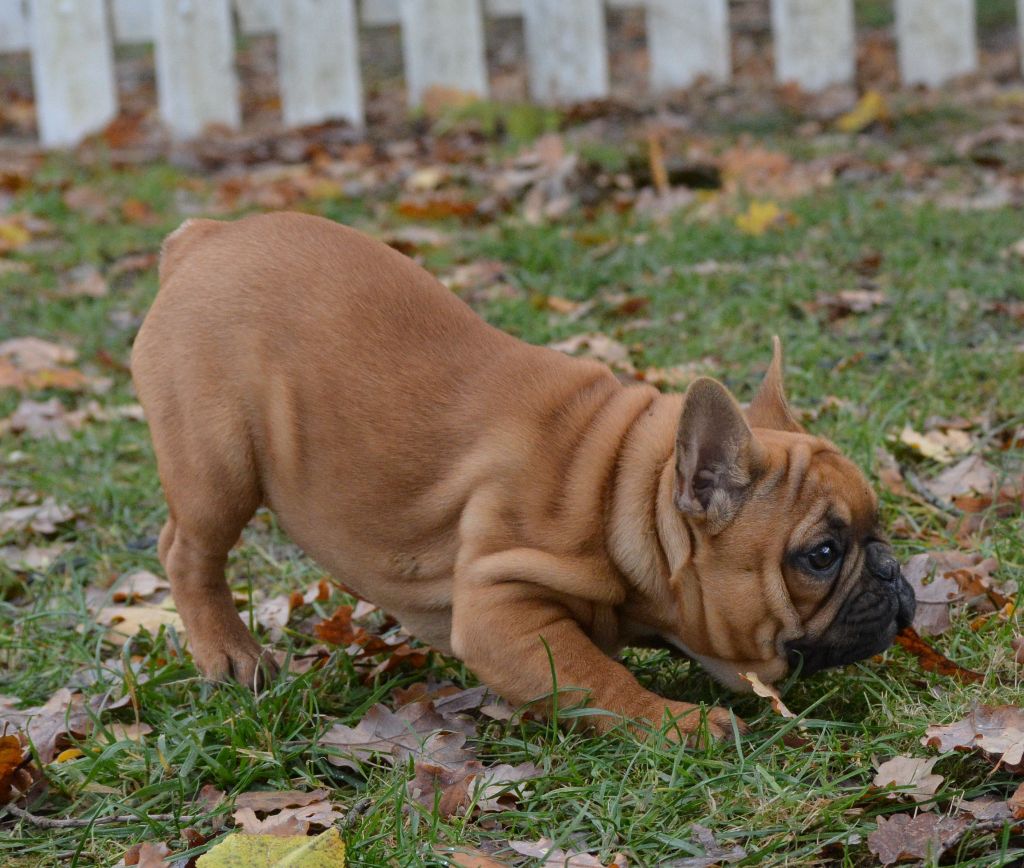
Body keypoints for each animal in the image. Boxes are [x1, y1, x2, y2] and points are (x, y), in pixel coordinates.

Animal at [132, 211, 917, 741]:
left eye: (880, 529)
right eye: (822, 555)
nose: (892, 572)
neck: (621, 493)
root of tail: (204, 238)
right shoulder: (501, 609)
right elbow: (600, 675)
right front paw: (682, 723)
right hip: (218, 464)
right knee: (189, 552)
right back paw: (231, 656)